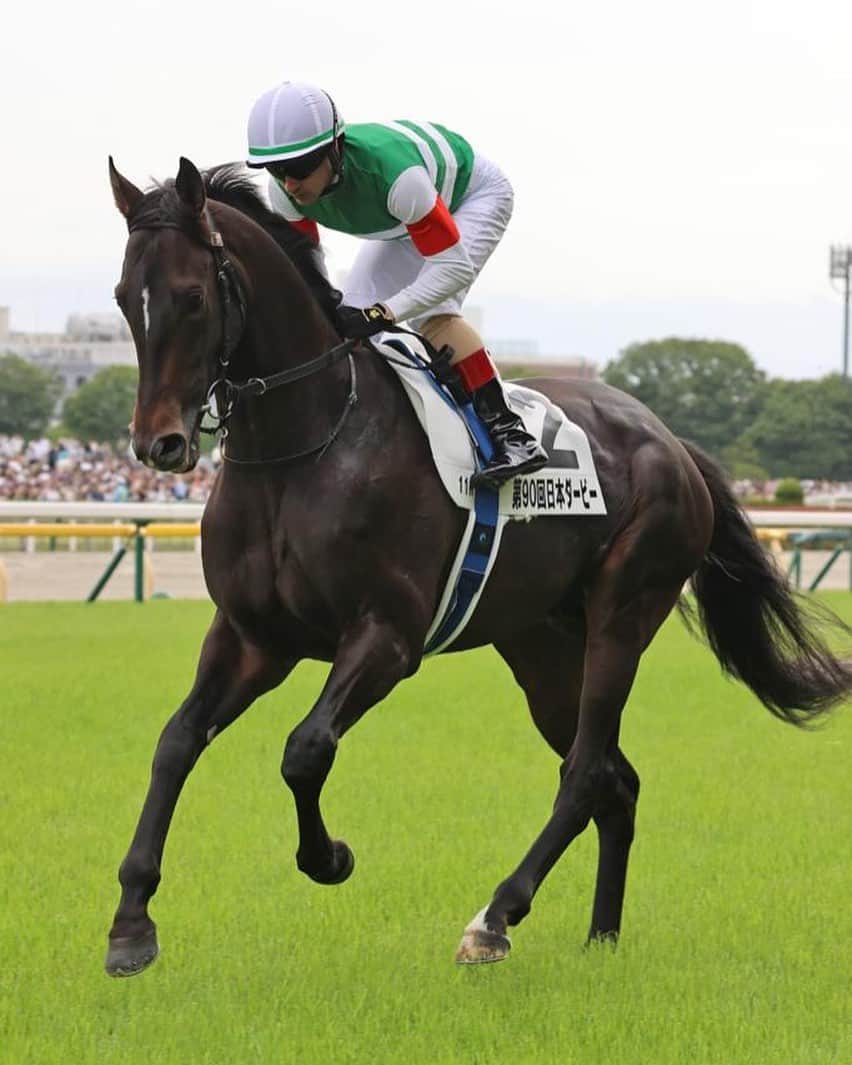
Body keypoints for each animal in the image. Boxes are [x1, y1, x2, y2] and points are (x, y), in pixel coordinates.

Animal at [104, 156, 852, 977]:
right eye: (123, 298)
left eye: (191, 296)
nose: (158, 445)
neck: (305, 448)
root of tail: (673, 441)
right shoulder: (252, 637)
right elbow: (176, 741)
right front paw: (131, 922)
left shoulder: (387, 637)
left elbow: (305, 749)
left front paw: (329, 856)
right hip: (542, 646)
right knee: (615, 780)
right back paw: (601, 937)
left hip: (624, 613)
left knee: (585, 773)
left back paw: (495, 917)